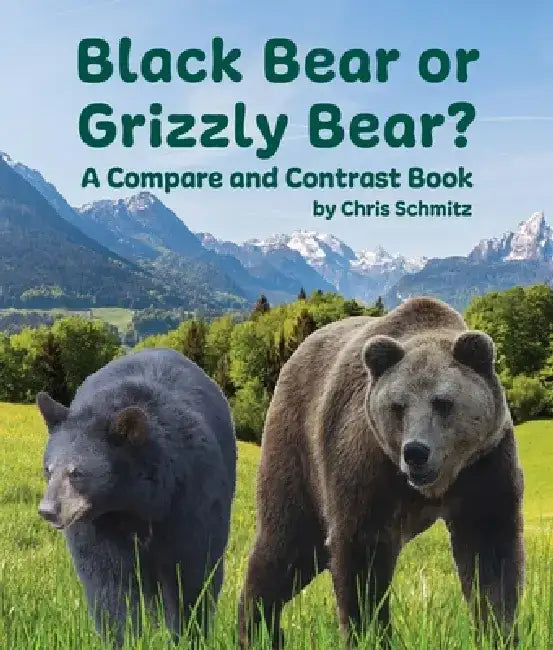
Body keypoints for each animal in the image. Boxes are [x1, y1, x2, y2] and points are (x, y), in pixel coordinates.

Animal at [36, 347, 236, 647]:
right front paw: (126, 638)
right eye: (48, 469)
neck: (135, 503)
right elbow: (109, 583)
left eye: (77, 473)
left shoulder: (192, 499)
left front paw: (189, 636)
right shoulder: (100, 525)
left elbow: (193, 574)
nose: (48, 510)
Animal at [238, 297, 524, 648]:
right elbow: (362, 556)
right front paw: (370, 634)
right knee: (286, 544)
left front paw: (497, 630)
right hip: (297, 452)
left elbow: (491, 556)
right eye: (398, 405)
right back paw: (257, 628)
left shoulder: (483, 466)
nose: (416, 452)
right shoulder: (366, 464)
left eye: (443, 402)